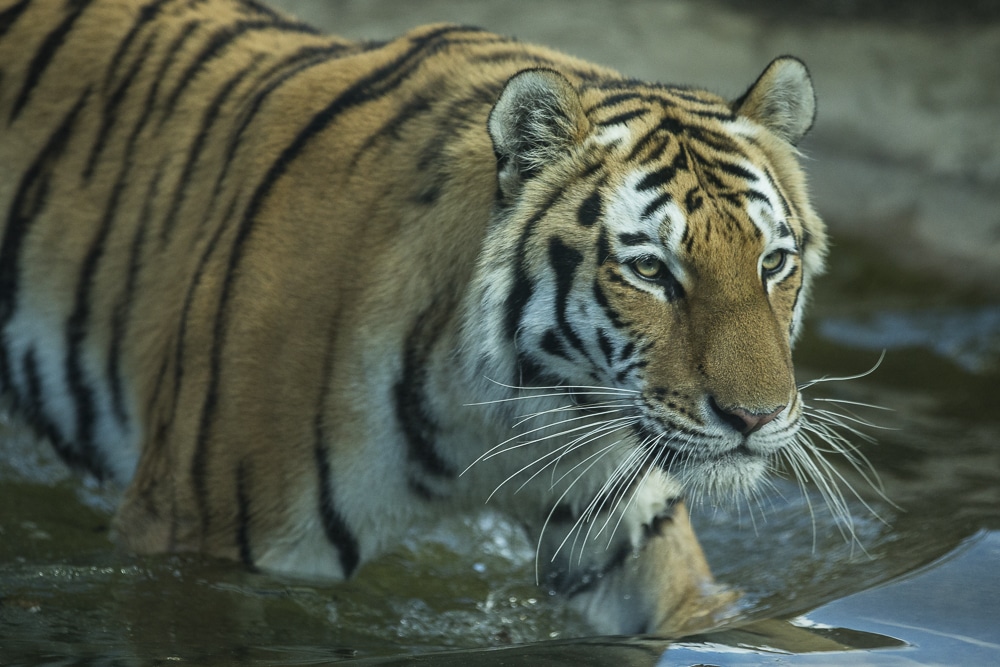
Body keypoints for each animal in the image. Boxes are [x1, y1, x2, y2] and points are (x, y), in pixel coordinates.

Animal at [0, 0, 828, 640]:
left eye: (772, 263)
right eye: (652, 270)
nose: (756, 418)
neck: (512, 408)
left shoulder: (625, 528)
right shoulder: (195, 542)